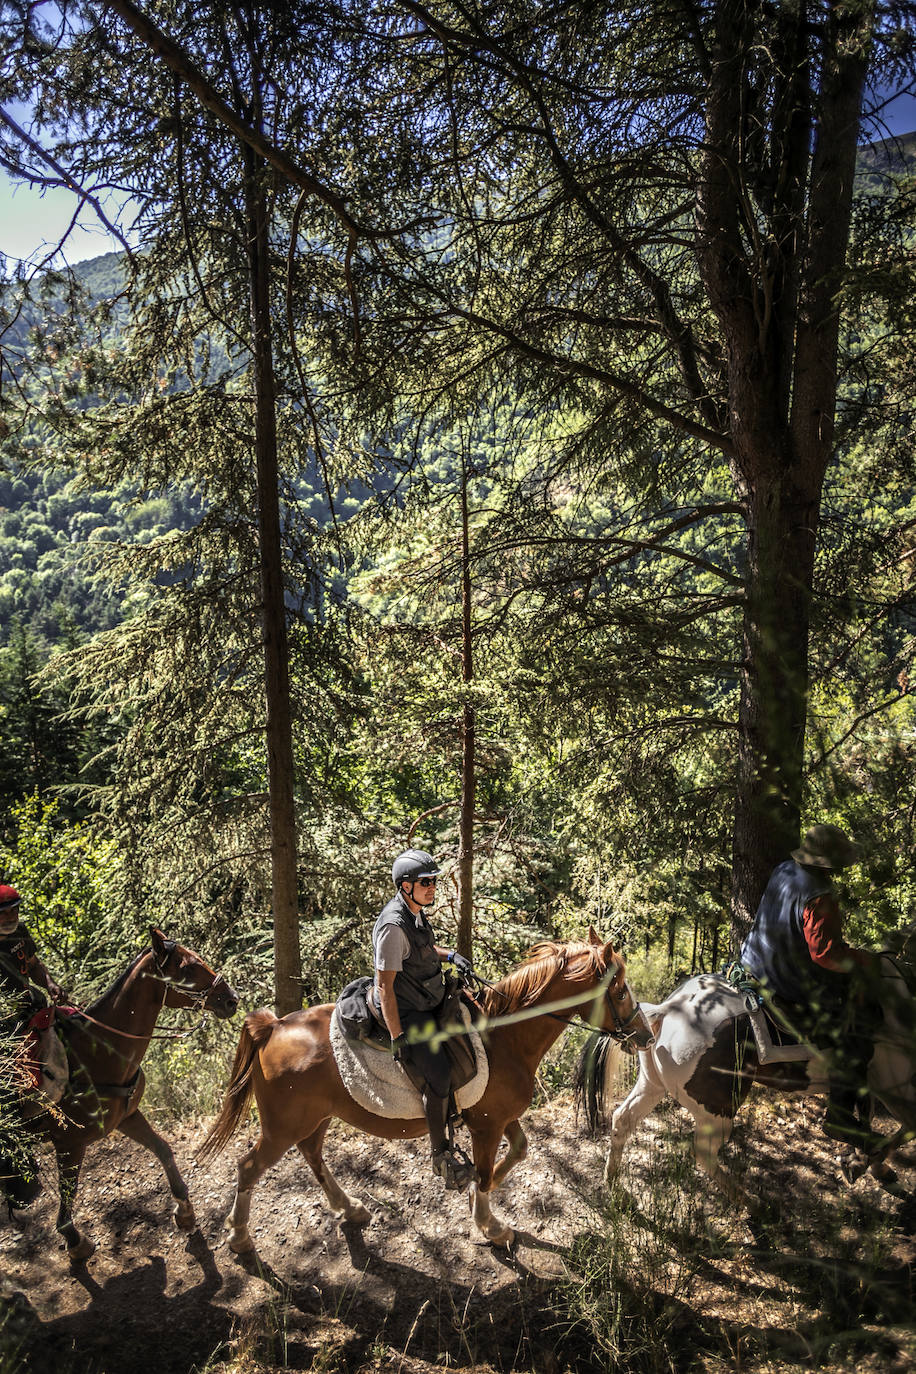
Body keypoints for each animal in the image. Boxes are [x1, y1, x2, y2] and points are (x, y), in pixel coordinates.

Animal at [37, 928, 238, 1258]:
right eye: (187, 968)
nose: (232, 999)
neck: (93, 1053)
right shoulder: (68, 1143)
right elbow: (66, 1204)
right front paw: (75, 1241)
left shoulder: (126, 1116)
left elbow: (163, 1149)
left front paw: (184, 1212)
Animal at [197, 928, 656, 1253]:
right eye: (619, 991)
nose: (646, 1036)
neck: (504, 1037)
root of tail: (272, 1026)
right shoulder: (486, 1125)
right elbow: (485, 1172)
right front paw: (490, 1225)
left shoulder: (494, 1117)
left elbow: (518, 1152)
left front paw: (475, 1198)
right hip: (282, 1126)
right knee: (249, 1167)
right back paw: (239, 1237)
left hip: (315, 1117)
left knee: (312, 1155)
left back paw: (350, 1208)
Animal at [579, 956, 916, 1203]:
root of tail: (668, 1009)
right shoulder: (894, 1088)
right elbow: (906, 1127)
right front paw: (867, 1163)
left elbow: (879, 1120)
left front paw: (869, 1164)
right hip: (718, 1110)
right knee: (704, 1153)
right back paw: (748, 1202)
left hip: (652, 1086)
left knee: (622, 1120)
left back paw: (613, 1185)